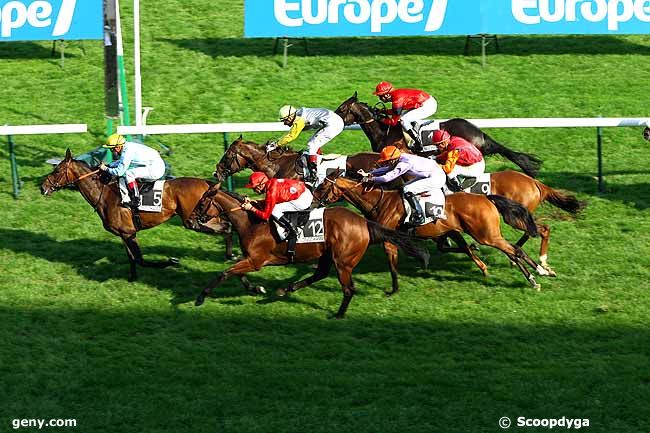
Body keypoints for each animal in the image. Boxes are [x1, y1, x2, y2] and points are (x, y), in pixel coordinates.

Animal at [39, 148, 235, 282]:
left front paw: (171, 261)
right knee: (227, 226)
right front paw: (132, 277)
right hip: (207, 215)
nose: (43, 187)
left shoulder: (129, 233)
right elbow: (131, 258)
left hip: (193, 219)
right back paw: (230, 254)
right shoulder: (125, 233)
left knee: (224, 227)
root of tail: (206, 183)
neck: (105, 194)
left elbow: (141, 260)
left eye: (57, 171)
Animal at [186, 186, 430, 318]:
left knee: (349, 289)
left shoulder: (255, 260)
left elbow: (224, 273)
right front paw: (257, 288)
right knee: (320, 274)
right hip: (327, 255)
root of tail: (364, 223)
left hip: (343, 262)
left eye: (202, 202)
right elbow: (238, 275)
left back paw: (339, 314)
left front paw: (200, 298)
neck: (251, 222)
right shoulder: (251, 259)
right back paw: (285, 289)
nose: (190, 221)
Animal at [312, 175, 548, 294]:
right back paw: (542, 270)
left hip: (486, 234)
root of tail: (486, 197)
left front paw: (393, 290)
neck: (380, 202)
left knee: (514, 250)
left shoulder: (390, 240)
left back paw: (535, 277)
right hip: (486, 233)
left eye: (322, 187)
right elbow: (459, 247)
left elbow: (392, 264)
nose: (313, 203)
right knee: (515, 249)